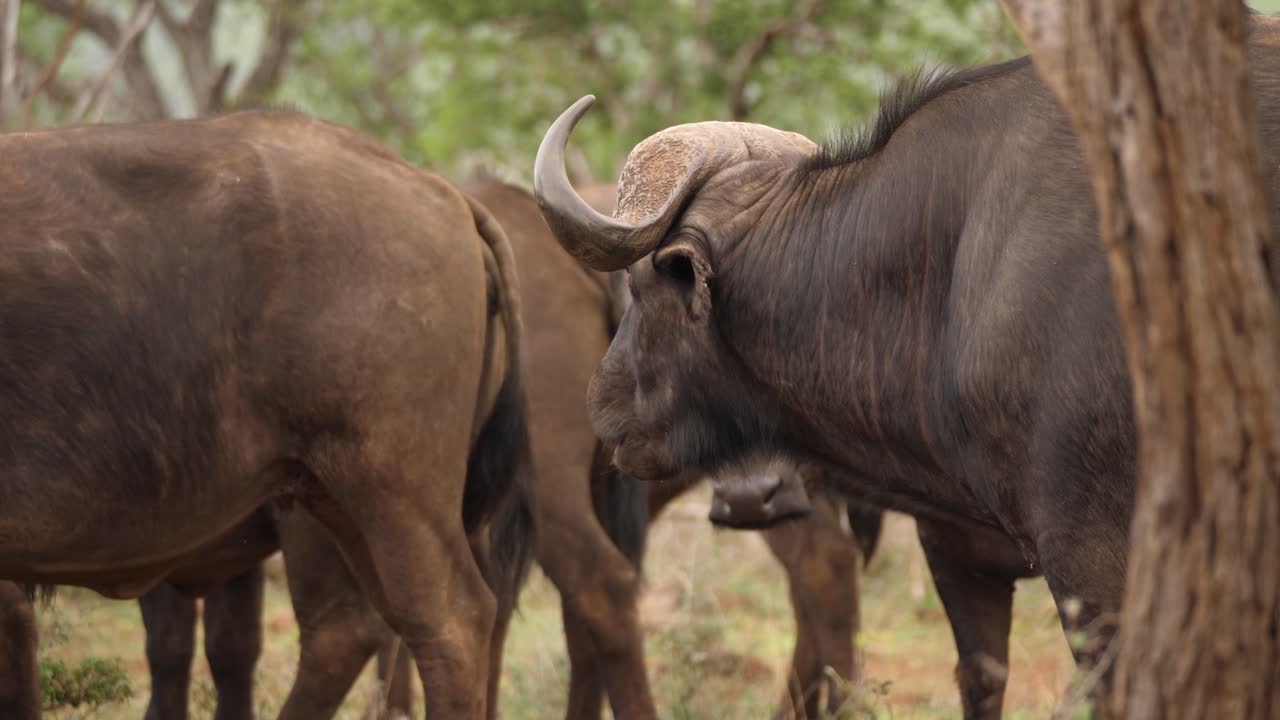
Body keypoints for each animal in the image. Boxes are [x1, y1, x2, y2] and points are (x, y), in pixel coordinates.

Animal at [533, 15, 1280, 717]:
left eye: (641, 285)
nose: (601, 400)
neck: (947, 264)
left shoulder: (1095, 561)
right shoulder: (964, 562)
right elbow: (981, 677)